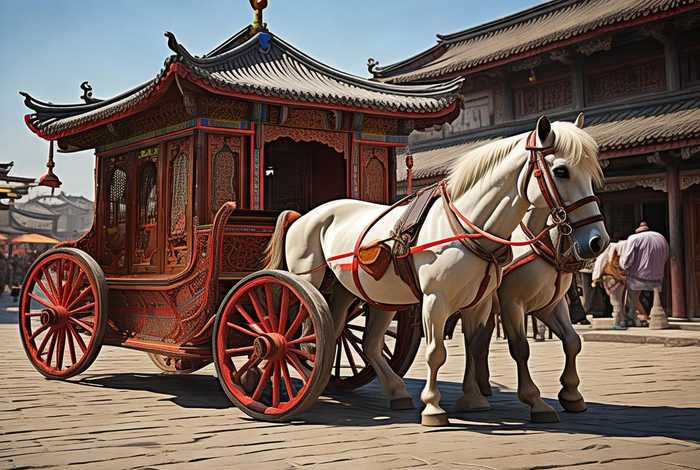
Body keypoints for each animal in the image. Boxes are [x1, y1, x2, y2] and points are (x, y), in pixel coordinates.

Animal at [264, 115, 609, 426]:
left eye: (593, 172)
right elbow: (443, 352)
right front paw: (434, 408)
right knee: (307, 334)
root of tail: (304, 215)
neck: (472, 226)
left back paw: (390, 390)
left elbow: (489, 346)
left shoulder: (491, 303)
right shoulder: (446, 300)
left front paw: (478, 398)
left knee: (355, 340)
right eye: (561, 171)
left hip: (362, 294)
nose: (597, 242)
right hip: (307, 280)